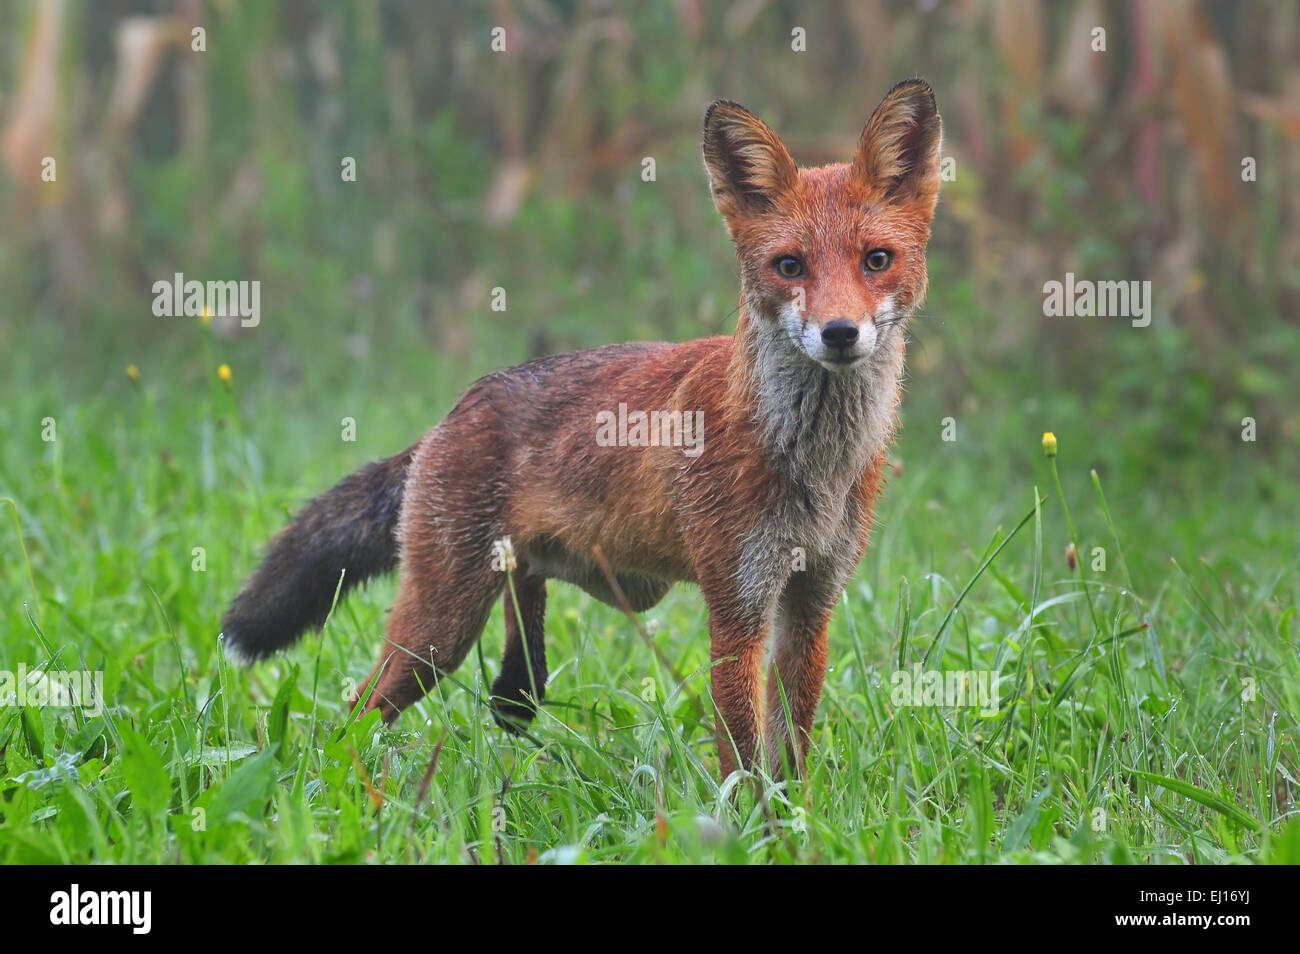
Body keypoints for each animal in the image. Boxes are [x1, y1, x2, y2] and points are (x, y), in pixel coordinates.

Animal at [218, 80, 941, 785]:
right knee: (355, 714)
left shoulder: (811, 605)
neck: (813, 465)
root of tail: (451, 414)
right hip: (438, 630)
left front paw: (799, 815)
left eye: (876, 260)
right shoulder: (737, 608)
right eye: (790, 266)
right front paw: (755, 819)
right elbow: (744, 761)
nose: (840, 333)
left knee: (516, 654)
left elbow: (791, 755)